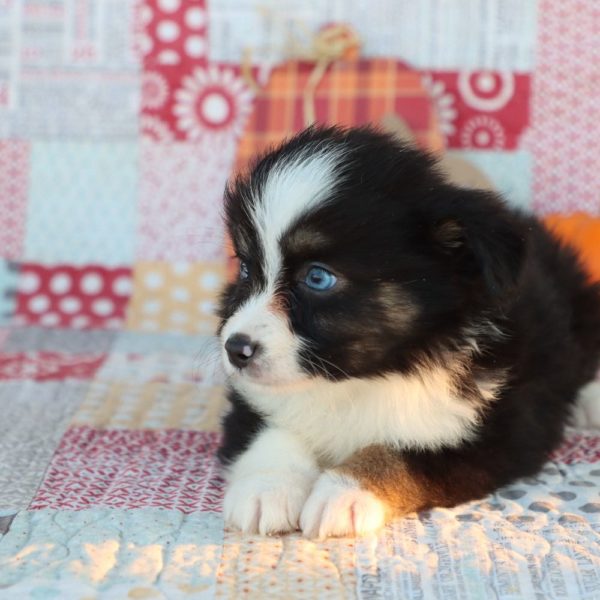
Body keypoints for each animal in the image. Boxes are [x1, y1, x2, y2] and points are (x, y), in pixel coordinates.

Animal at [216, 126, 600, 540]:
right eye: (246, 269)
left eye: (318, 277)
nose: (236, 349)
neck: (361, 378)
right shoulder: (250, 402)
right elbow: (269, 430)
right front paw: (266, 488)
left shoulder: (496, 431)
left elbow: (400, 452)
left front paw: (344, 493)